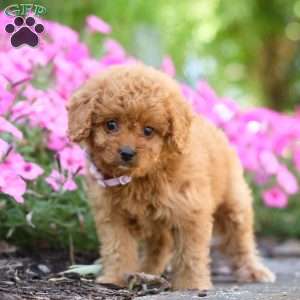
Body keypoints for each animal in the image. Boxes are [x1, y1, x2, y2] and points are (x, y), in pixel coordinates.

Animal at [67, 63, 276, 290]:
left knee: (240, 238)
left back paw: (253, 270)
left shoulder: (190, 212)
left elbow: (190, 254)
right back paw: (146, 271)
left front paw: (191, 284)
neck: (143, 176)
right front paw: (115, 278)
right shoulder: (112, 216)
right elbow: (118, 248)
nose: (127, 153)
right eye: (111, 125)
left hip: (234, 203)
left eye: (148, 130)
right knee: (160, 244)